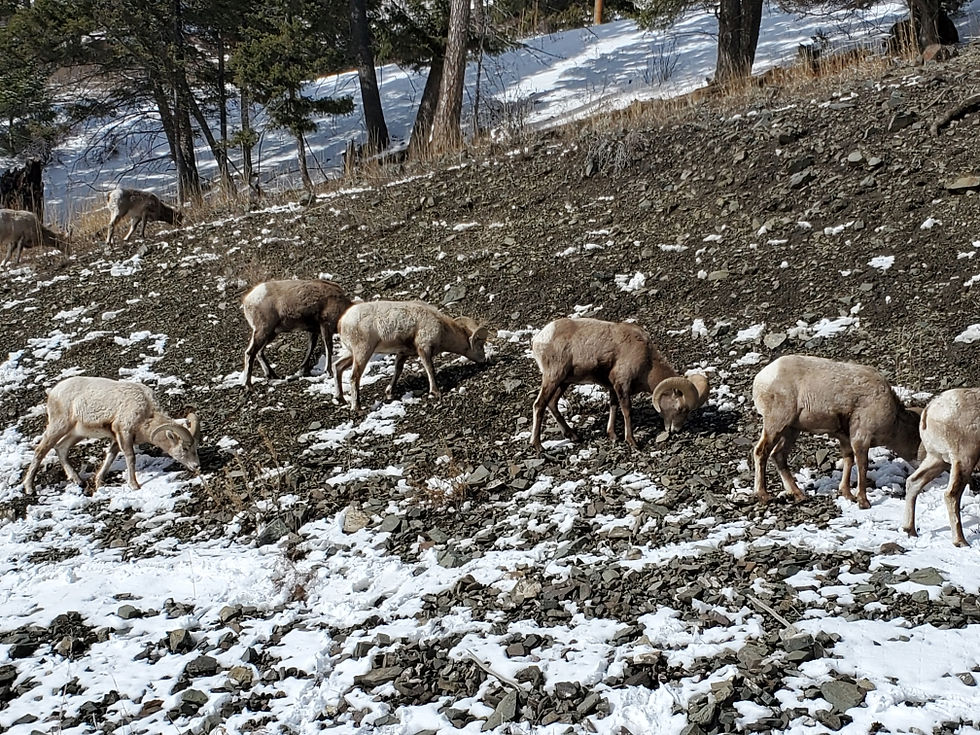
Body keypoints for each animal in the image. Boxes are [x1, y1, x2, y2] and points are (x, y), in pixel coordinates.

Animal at [22, 376, 201, 494]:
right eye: (185, 448)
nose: (197, 466)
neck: (146, 413)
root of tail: (53, 392)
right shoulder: (124, 433)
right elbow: (130, 457)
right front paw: (134, 485)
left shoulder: (117, 437)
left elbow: (110, 456)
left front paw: (99, 482)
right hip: (59, 426)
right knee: (41, 450)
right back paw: (29, 488)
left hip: (76, 433)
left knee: (61, 448)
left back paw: (78, 481)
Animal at [333, 300, 490, 410]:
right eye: (480, 345)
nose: (484, 360)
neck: (442, 328)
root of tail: (342, 322)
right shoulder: (424, 349)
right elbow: (430, 369)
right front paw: (435, 392)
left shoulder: (403, 354)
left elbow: (398, 371)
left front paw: (389, 392)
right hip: (363, 352)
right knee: (354, 377)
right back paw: (356, 407)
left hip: (352, 353)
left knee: (337, 366)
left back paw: (340, 398)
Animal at [529, 318, 710, 452]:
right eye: (681, 409)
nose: (676, 430)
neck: (647, 361)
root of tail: (539, 339)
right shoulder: (622, 384)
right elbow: (627, 411)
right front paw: (632, 442)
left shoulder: (613, 387)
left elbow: (613, 407)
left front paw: (613, 436)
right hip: (553, 378)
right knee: (539, 405)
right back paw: (538, 446)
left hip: (563, 382)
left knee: (552, 404)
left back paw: (573, 436)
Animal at [752, 354, 921, 508]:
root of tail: (761, 378)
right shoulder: (861, 438)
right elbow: (862, 466)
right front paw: (863, 502)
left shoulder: (846, 439)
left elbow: (848, 460)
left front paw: (847, 494)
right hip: (777, 424)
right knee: (761, 452)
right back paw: (764, 495)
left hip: (791, 430)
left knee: (778, 455)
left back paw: (799, 495)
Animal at [903, 388, 980, 547]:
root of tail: (929, 410)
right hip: (963, 459)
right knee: (951, 495)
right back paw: (961, 541)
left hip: (937, 458)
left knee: (913, 482)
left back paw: (910, 530)